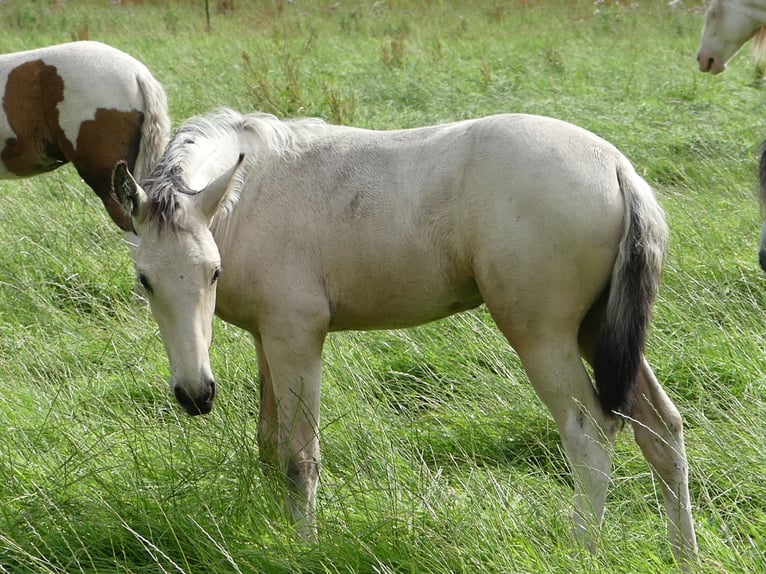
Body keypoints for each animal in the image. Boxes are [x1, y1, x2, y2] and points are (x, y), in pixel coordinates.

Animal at [115, 109, 704, 572]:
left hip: (545, 337)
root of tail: (618, 167)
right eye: (145, 280)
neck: (254, 190)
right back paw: (685, 556)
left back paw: (582, 550)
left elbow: (300, 457)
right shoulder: (268, 339)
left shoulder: (296, 337)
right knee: (660, 429)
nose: (195, 395)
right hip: (597, 331)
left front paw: (302, 547)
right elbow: (268, 445)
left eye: (212, 272)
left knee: (590, 435)